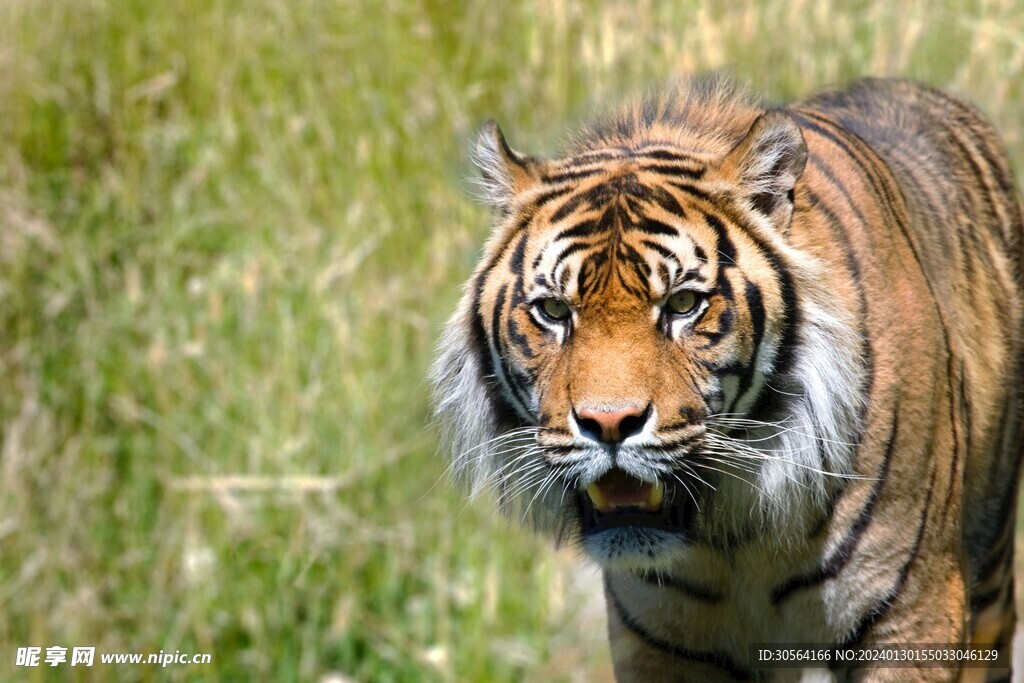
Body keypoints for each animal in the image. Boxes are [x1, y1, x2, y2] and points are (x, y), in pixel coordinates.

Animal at [430, 76, 1024, 682]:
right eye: (553, 311)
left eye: (682, 304)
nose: (609, 423)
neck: (736, 541)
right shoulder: (658, 644)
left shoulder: (910, 616)